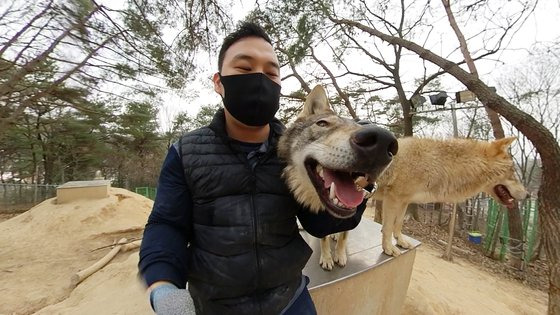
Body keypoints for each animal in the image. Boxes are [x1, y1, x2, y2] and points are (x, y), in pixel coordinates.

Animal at [278, 86, 396, 272]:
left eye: (358, 126)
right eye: (322, 124)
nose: (383, 141)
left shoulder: (349, 220)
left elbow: (344, 237)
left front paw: (340, 255)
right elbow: (324, 238)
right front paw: (327, 258)